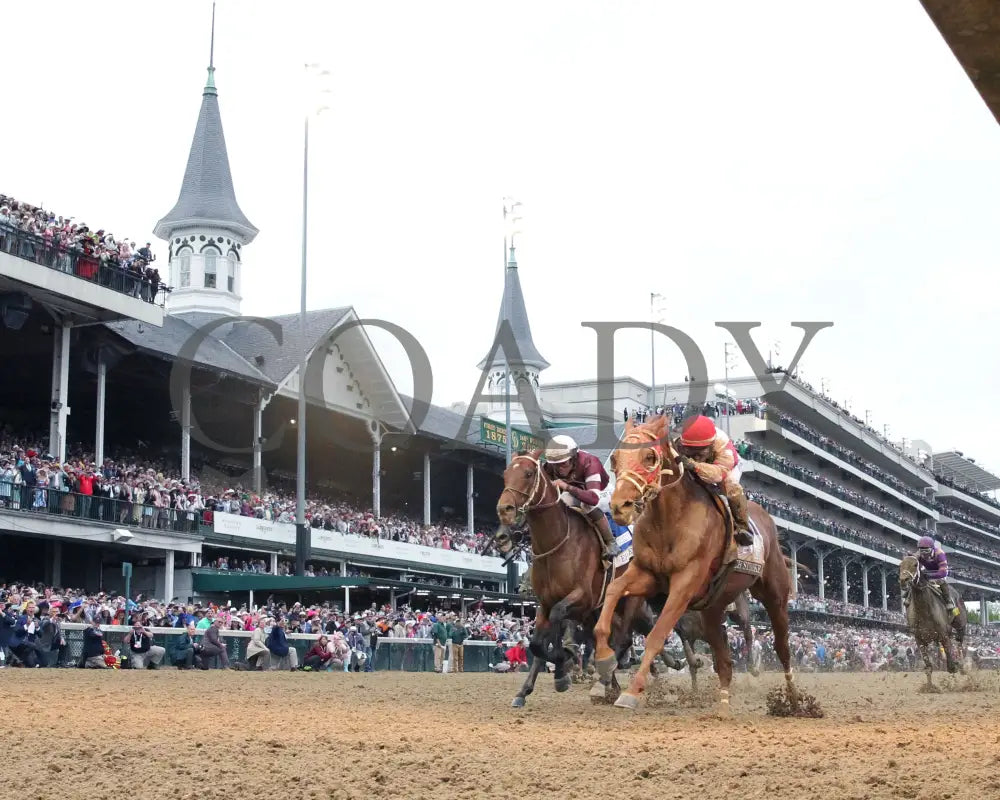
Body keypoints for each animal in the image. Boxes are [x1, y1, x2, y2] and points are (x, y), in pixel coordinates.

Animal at [496, 450, 652, 708]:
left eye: (528, 474)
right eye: (505, 474)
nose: (504, 509)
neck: (557, 543)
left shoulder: (582, 597)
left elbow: (557, 620)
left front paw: (563, 666)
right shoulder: (545, 602)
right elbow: (537, 645)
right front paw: (526, 690)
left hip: (630, 600)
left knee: (623, 639)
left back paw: (605, 681)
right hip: (598, 611)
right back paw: (608, 684)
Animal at [592, 412, 796, 712]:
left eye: (650, 456)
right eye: (616, 458)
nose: (620, 506)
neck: (669, 521)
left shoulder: (684, 584)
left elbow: (657, 635)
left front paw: (632, 691)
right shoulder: (647, 574)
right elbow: (613, 592)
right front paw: (605, 659)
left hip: (774, 596)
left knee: (781, 648)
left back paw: (794, 700)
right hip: (714, 607)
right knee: (724, 659)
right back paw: (722, 701)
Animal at [900, 552, 968, 692]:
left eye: (915, 564)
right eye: (900, 565)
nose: (904, 580)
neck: (924, 610)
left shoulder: (944, 635)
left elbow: (951, 665)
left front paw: (954, 679)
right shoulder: (920, 639)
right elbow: (928, 666)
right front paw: (929, 687)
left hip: (960, 625)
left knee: (959, 642)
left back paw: (962, 665)